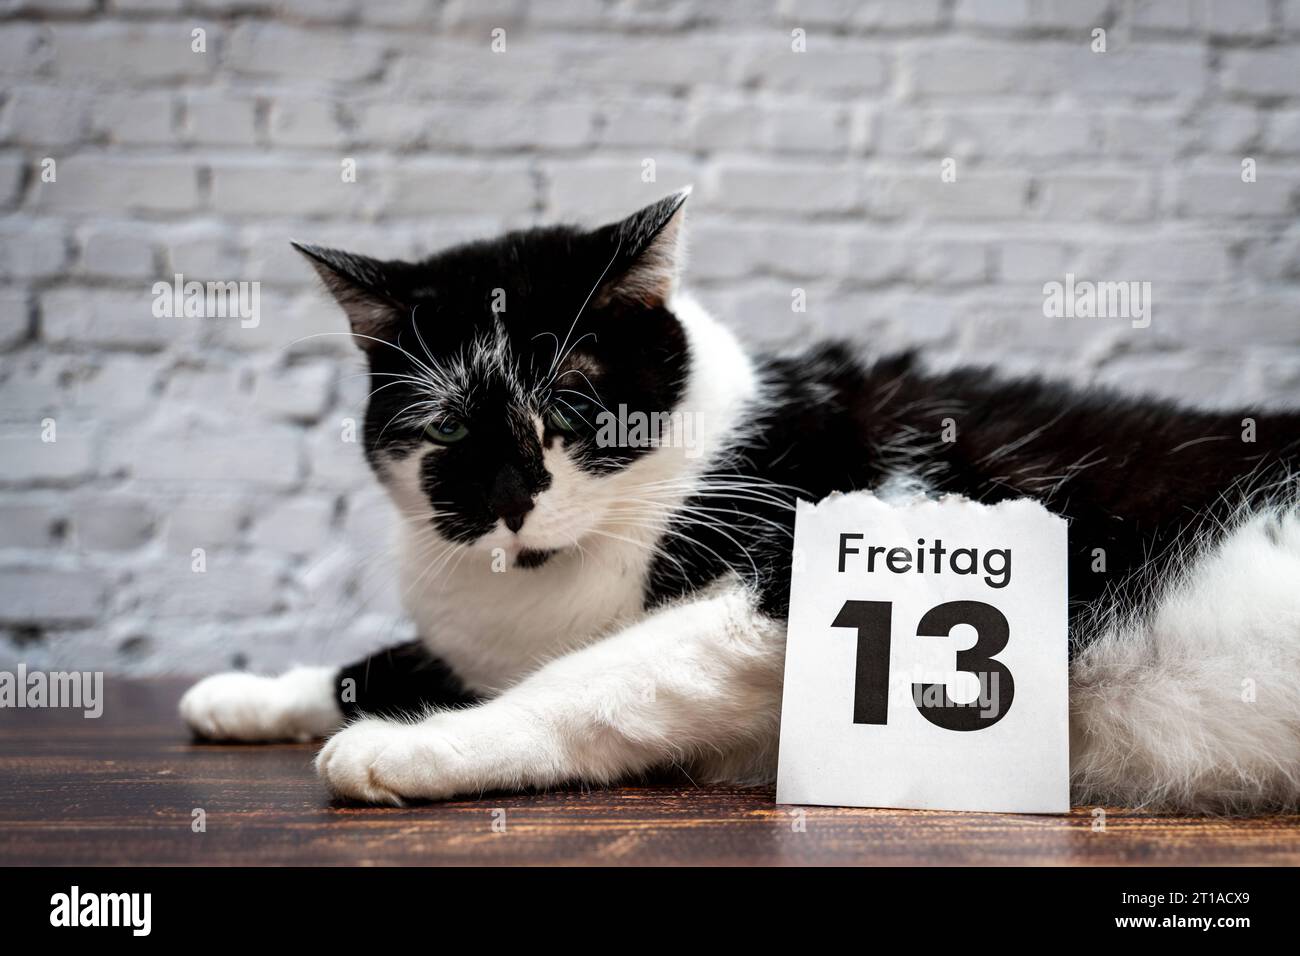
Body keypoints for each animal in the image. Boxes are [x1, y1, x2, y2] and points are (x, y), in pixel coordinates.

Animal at [180, 191, 1300, 811]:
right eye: (449, 430)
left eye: (572, 404)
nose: (508, 504)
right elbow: (378, 661)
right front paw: (246, 693)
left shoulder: (798, 577)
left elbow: (586, 681)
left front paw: (409, 744)